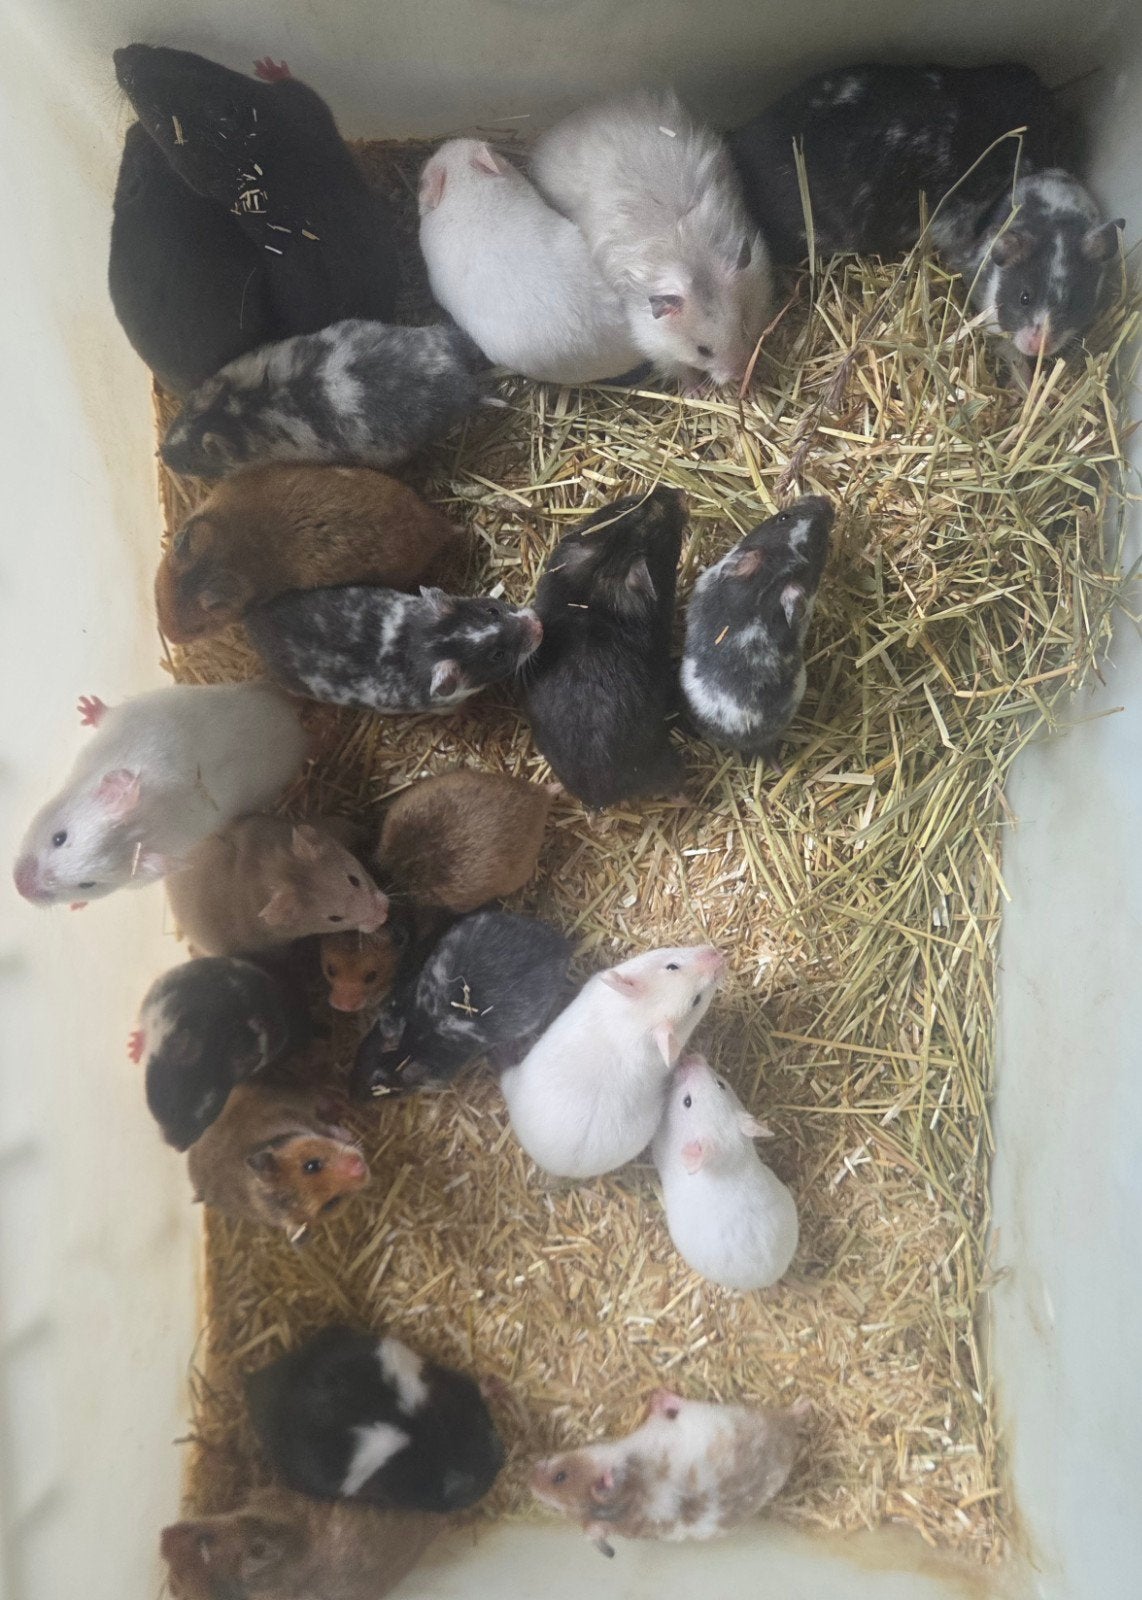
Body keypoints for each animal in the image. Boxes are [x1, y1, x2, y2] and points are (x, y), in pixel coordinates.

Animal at [12, 683, 307, 908]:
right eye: (59, 838)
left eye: (88, 884)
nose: (19, 888)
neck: (147, 818)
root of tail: (296, 728)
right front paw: (85, 706)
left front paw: (77, 905)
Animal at [186, 1082, 370, 1243]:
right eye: (331, 1203)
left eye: (311, 1165)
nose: (358, 1165)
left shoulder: (299, 1114)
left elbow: (325, 1127)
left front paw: (351, 1137)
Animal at [531, 90, 772, 387]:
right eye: (702, 350)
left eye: (743, 325)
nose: (739, 375)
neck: (690, 255)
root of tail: (565, 122)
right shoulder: (653, 341)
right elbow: (678, 368)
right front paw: (695, 390)